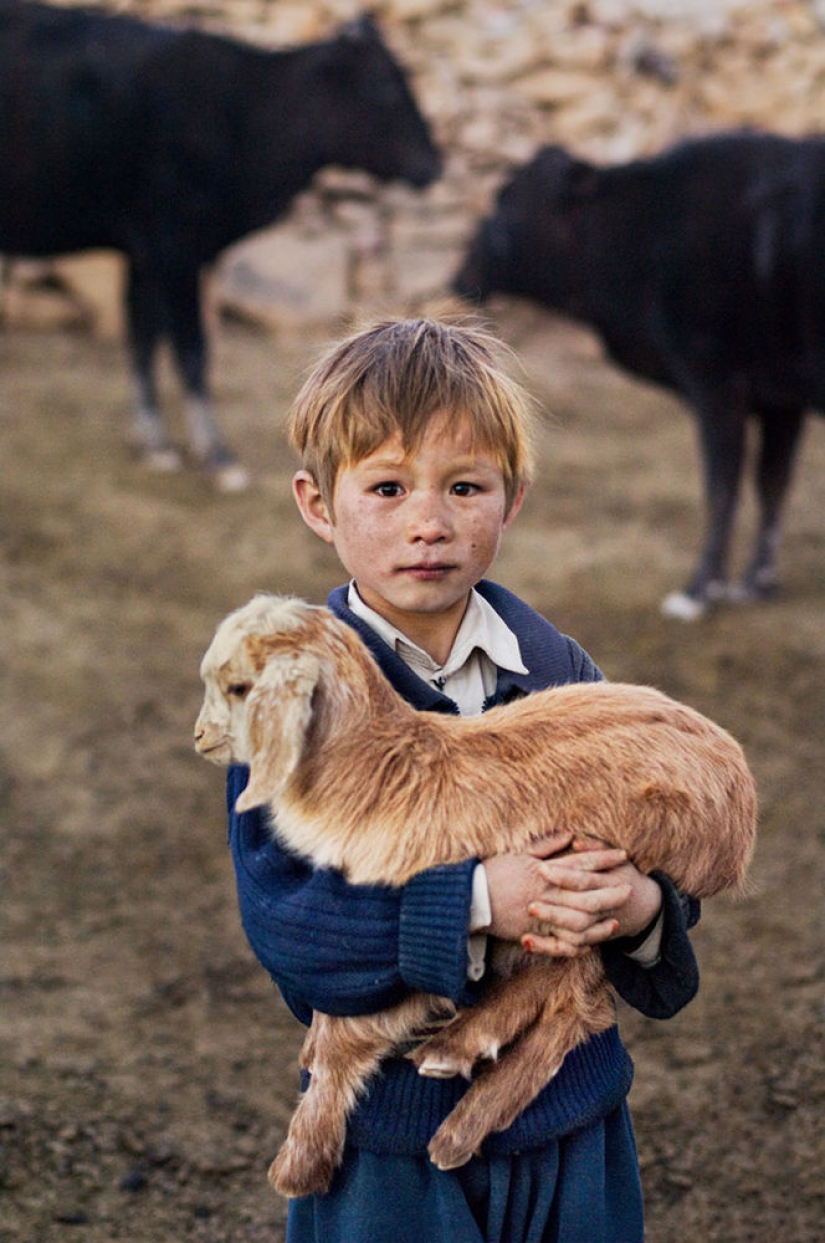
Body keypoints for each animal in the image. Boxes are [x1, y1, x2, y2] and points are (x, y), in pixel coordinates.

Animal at [0, 2, 442, 487]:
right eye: (384, 86)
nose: (434, 164)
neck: (241, 109)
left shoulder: (146, 254)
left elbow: (142, 336)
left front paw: (153, 441)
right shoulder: (176, 247)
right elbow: (192, 349)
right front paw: (215, 453)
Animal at [193, 596, 755, 1198]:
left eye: (239, 687)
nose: (199, 737)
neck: (377, 772)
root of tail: (741, 813)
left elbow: (347, 1041)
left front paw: (299, 1166)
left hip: (618, 865)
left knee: (570, 1001)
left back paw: (455, 1081)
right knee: (577, 1001)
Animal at [452, 133, 825, 619]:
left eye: (507, 200)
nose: (461, 275)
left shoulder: (716, 383)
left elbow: (722, 486)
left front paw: (698, 591)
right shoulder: (780, 399)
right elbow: (772, 483)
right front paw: (755, 583)